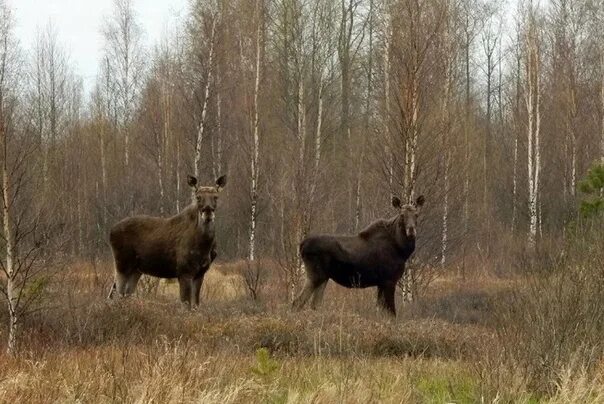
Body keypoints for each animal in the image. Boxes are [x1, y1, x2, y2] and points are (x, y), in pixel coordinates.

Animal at [108, 174, 226, 306]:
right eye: (198, 197)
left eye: (216, 197)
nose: (208, 210)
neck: (204, 245)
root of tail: (110, 232)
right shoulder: (184, 272)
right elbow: (186, 305)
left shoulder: (200, 273)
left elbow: (195, 305)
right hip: (122, 264)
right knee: (116, 293)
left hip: (136, 269)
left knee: (125, 293)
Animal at [292, 195, 424, 316]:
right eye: (402, 215)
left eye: (417, 214)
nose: (411, 230)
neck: (402, 251)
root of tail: (301, 245)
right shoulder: (389, 280)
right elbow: (391, 313)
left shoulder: (381, 283)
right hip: (315, 275)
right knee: (297, 302)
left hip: (324, 277)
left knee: (315, 304)